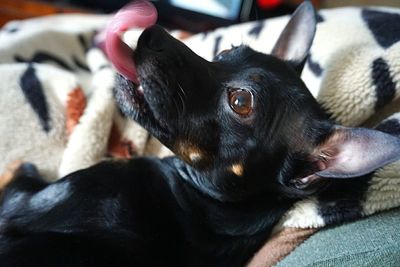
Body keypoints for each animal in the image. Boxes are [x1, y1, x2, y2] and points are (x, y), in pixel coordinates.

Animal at [0, 2, 400, 267]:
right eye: (227, 52)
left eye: (241, 102)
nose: (152, 31)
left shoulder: (25, 198)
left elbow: (17, 175)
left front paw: (18, 165)